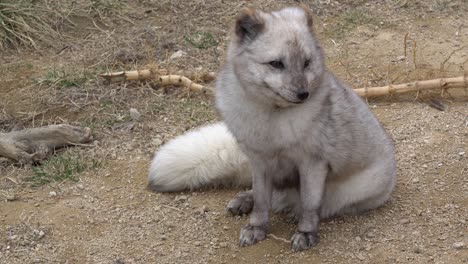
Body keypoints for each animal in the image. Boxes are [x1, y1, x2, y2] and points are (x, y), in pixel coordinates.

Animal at [148, 6, 396, 252]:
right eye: (276, 63)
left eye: (306, 63)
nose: (303, 94)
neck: (271, 119)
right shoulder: (259, 160)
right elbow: (261, 200)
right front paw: (256, 227)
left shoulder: (313, 164)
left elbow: (310, 204)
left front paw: (306, 232)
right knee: (267, 196)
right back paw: (245, 200)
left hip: (352, 191)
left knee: (311, 205)